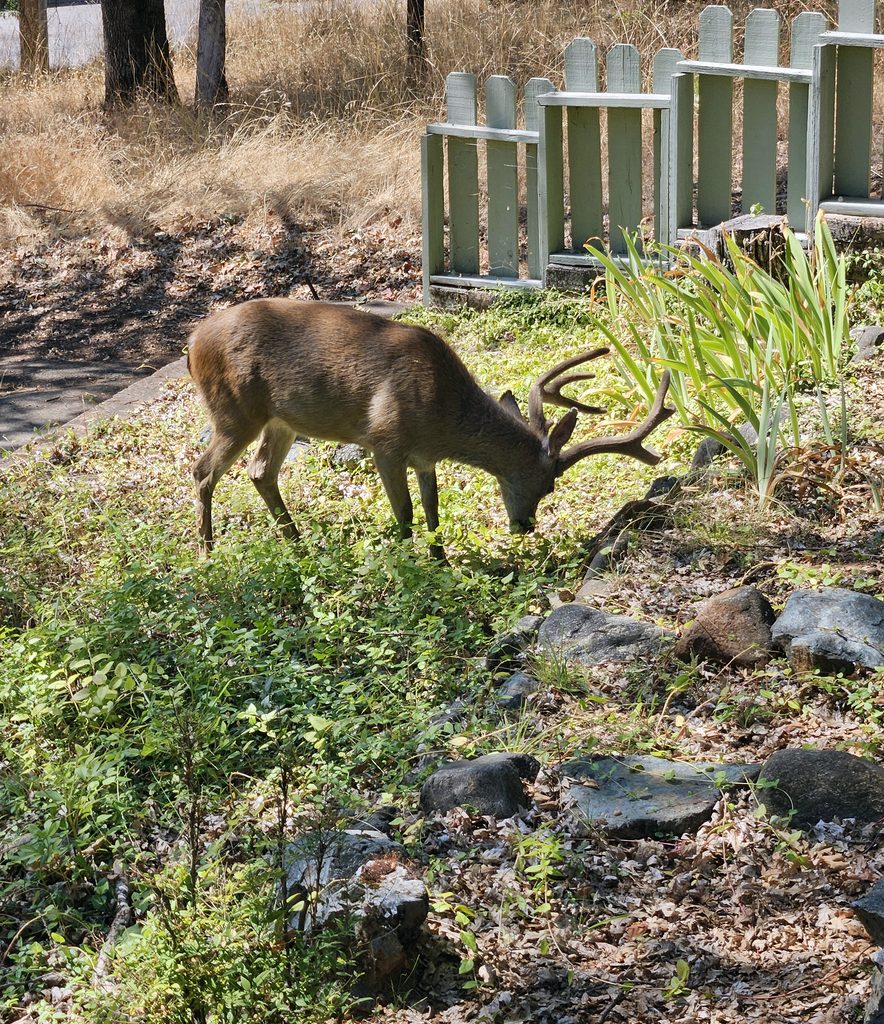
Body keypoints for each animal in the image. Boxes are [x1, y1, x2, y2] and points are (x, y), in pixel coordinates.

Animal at [187, 299, 674, 558]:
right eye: (549, 484)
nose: (526, 526)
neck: (442, 416)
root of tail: (193, 343)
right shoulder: (384, 441)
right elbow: (404, 512)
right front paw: (408, 562)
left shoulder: (424, 457)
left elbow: (433, 510)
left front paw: (440, 560)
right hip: (233, 410)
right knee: (203, 470)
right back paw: (207, 549)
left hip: (280, 420)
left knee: (260, 472)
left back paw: (298, 542)